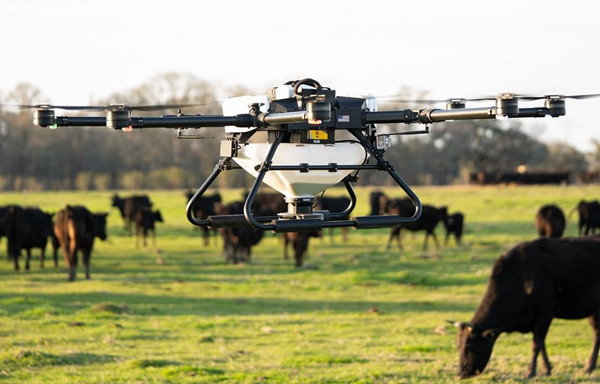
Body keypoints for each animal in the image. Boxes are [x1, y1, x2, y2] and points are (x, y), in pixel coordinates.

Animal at [452, 237, 600, 378]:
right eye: (458, 346)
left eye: (469, 348)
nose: (460, 374)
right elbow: (541, 344)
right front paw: (547, 369)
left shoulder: (545, 312)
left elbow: (537, 343)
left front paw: (531, 372)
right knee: (597, 334)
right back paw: (590, 366)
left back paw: (589, 367)